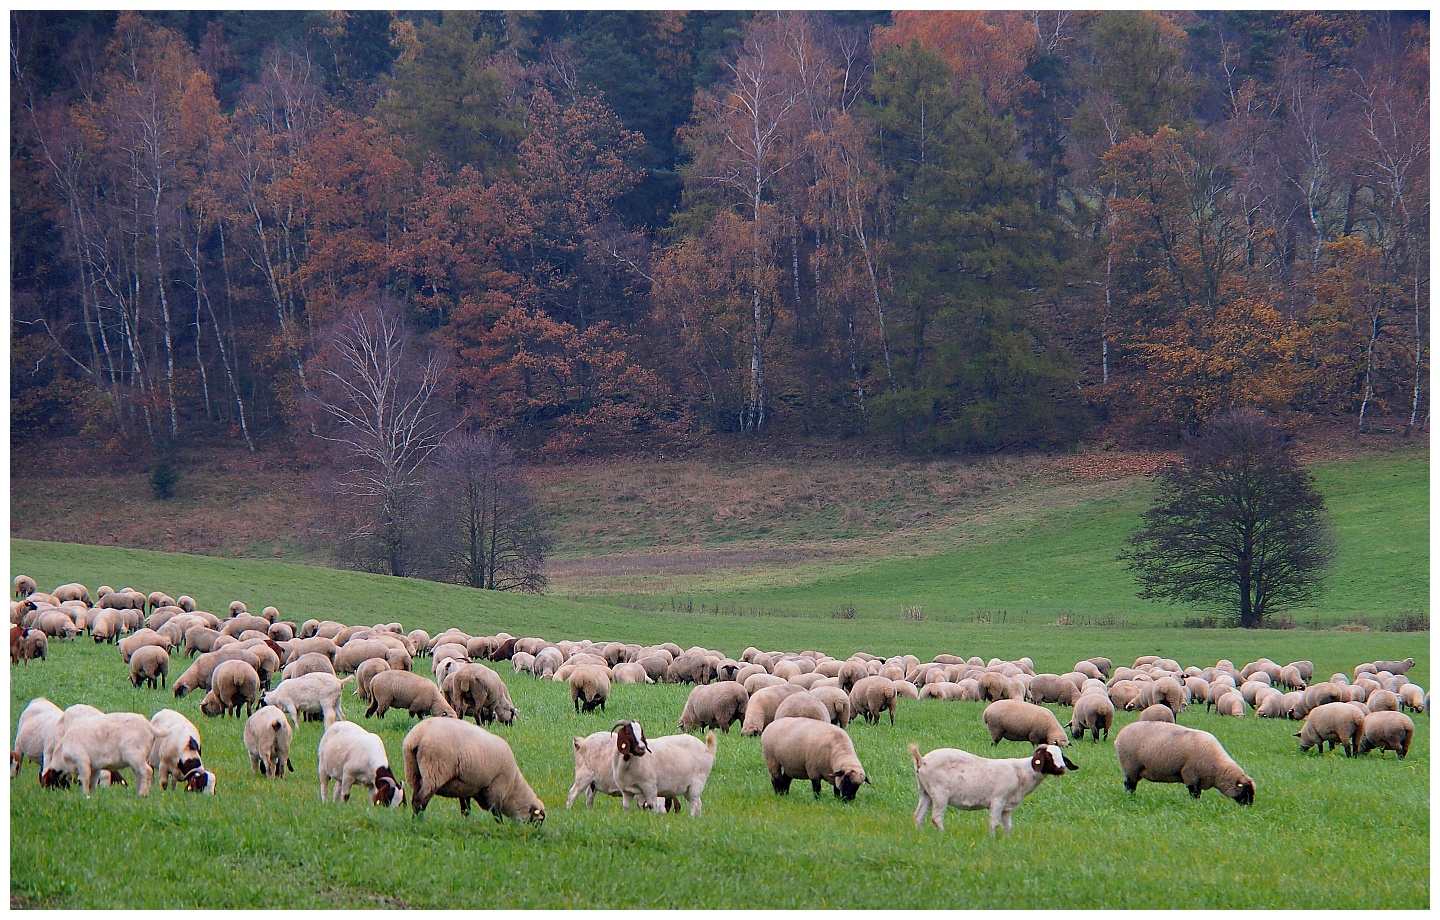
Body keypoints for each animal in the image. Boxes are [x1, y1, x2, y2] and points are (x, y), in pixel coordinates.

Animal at [400, 716, 544, 823]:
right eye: (537, 821)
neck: (513, 788)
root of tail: (418, 736)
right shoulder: (496, 788)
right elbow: (496, 812)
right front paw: (501, 826)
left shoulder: (465, 787)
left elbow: (466, 809)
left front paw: (466, 823)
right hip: (434, 770)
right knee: (421, 800)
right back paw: (419, 821)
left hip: (413, 772)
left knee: (415, 799)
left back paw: (414, 821)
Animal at [904, 742, 1077, 835]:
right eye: (1047, 756)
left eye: (1062, 756)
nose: (1062, 768)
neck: (1022, 772)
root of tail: (922, 760)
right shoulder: (997, 800)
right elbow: (994, 823)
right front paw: (992, 839)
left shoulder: (1007, 806)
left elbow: (1008, 825)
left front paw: (1007, 840)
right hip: (939, 793)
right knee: (936, 817)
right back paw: (943, 834)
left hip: (925, 791)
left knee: (918, 815)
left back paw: (920, 833)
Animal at [1111, 719, 1249, 806]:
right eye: (1246, 790)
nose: (1248, 807)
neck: (1218, 769)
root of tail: (1119, 736)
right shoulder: (1191, 775)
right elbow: (1194, 793)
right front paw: (1195, 805)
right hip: (1130, 766)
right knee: (1130, 785)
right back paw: (1131, 798)